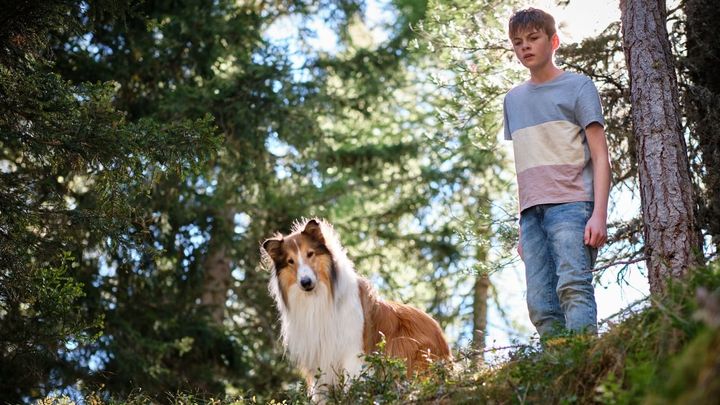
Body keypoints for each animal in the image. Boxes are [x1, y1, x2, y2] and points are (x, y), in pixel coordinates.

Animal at [258, 218, 450, 398]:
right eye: (290, 261)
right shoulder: (318, 356)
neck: (318, 298)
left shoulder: (352, 351)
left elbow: (352, 384)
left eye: (310, 254)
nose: (306, 282)